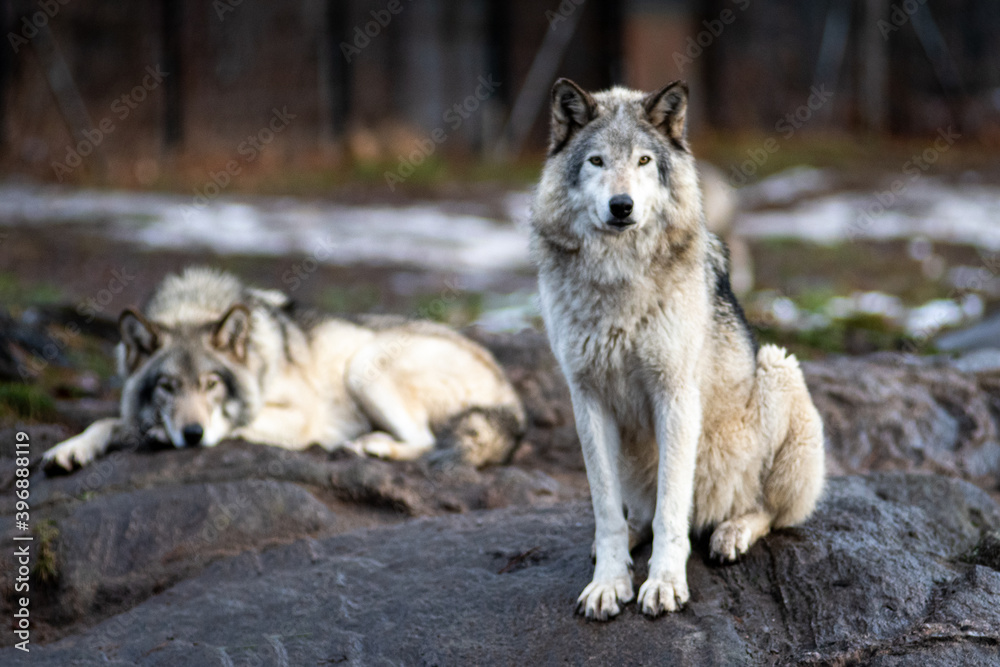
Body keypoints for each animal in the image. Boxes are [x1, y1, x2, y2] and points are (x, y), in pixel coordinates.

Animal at [43, 268, 525, 471]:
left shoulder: (298, 417)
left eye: (211, 384)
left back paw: (372, 446)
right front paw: (71, 450)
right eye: (167, 386)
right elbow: (109, 421)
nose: (191, 434)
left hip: (365, 364)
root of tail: (511, 396)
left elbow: (234, 424)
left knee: (425, 440)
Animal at [530, 79, 824, 620]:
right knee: (637, 514)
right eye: (597, 161)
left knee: (767, 511)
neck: (618, 278)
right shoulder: (586, 397)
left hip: (778, 368)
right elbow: (605, 509)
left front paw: (664, 584)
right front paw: (609, 583)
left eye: (644, 160)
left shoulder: (675, 394)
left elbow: (671, 510)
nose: (621, 205)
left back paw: (730, 531)